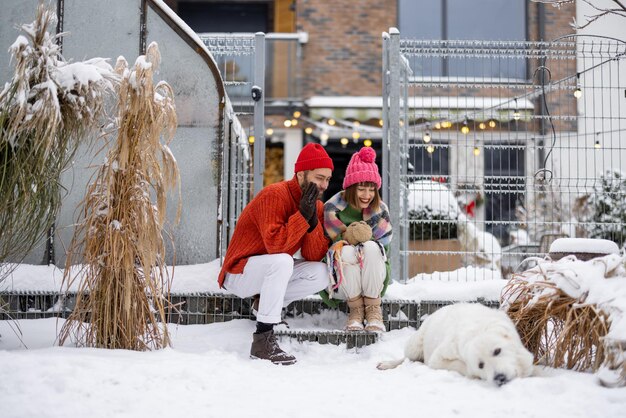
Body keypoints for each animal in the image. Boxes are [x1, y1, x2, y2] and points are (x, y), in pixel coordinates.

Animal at [376, 302, 532, 386]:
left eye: (497, 351)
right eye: (480, 365)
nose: (500, 377)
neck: (478, 330)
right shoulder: (440, 356)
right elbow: (453, 365)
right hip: (415, 344)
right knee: (407, 358)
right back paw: (386, 364)